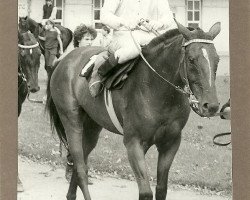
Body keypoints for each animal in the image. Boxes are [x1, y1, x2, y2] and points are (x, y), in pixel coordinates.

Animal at [46, 20, 222, 200]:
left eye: (217, 59)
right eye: (192, 59)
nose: (211, 106)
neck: (157, 89)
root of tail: (64, 60)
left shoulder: (170, 143)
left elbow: (161, 188)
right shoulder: (133, 143)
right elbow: (145, 192)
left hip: (92, 127)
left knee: (79, 163)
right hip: (72, 122)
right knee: (81, 168)